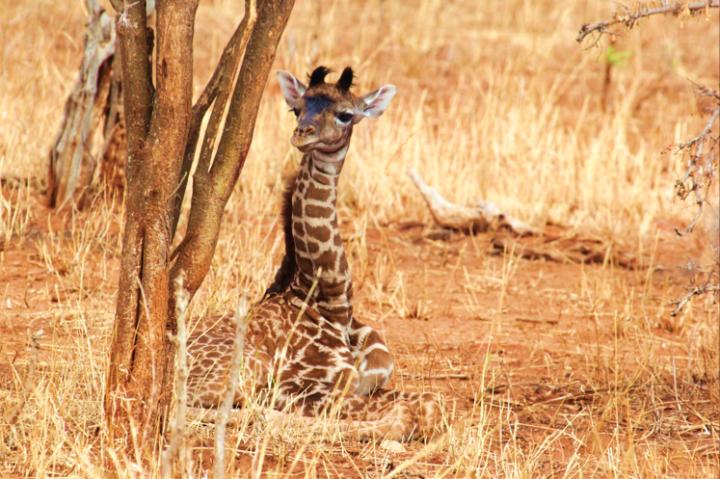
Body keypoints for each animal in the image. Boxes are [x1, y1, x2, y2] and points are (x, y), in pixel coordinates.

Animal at [186, 65, 442, 440]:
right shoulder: (299, 386)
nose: (302, 134)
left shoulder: (371, 381)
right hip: (246, 370)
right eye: (297, 108)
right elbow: (407, 412)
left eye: (345, 114)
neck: (333, 304)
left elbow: (429, 402)